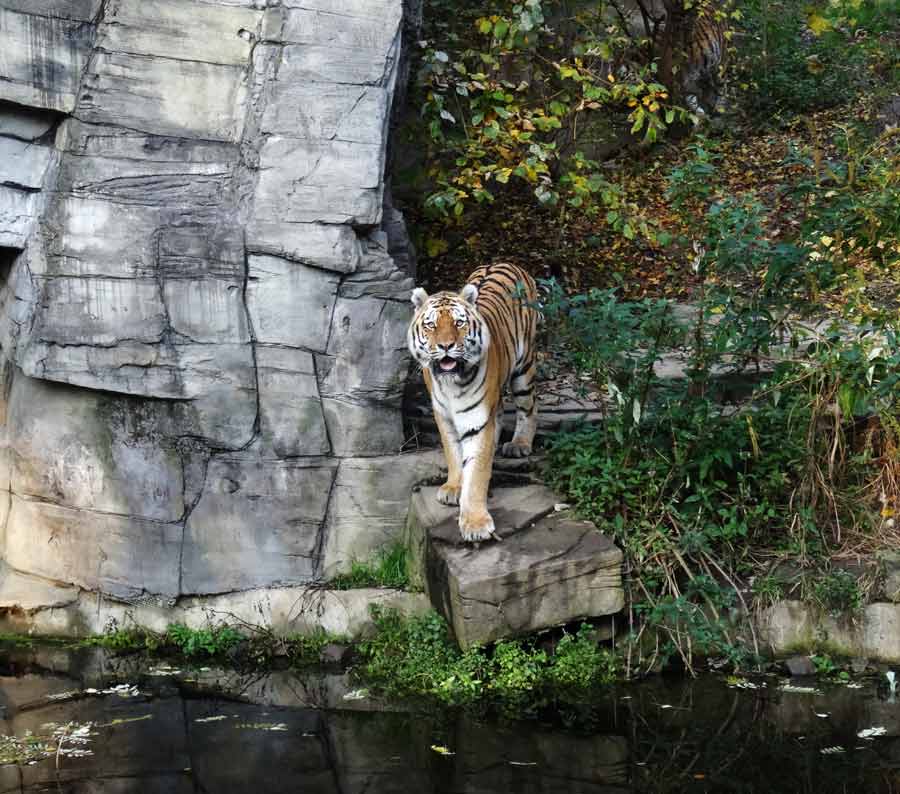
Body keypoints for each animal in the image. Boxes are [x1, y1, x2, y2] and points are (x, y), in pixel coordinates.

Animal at [410, 262, 540, 540]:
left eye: (459, 323)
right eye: (431, 325)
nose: (446, 346)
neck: (451, 384)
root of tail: (506, 262)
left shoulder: (478, 419)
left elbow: (477, 469)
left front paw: (476, 523)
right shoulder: (443, 417)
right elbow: (453, 453)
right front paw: (453, 487)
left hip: (524, 368)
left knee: (529, 407)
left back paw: (519, 444)